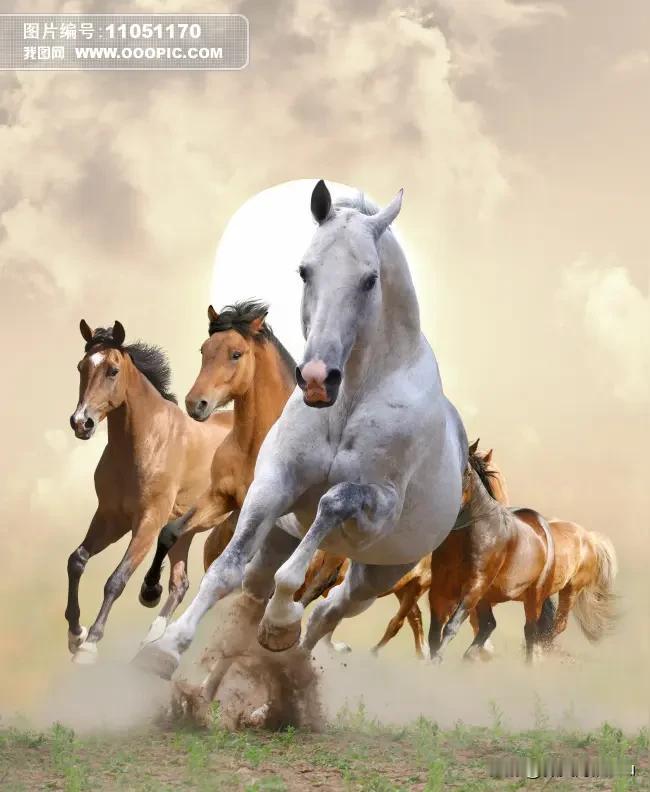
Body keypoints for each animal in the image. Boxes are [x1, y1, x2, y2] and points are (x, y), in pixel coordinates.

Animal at [66, 321, 231, 664]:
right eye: (81, 367)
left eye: (113, 370)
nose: (81, 423)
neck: (147, 441)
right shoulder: (111, 518)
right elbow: (77, 560)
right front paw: (76, 634)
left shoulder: (148, 522)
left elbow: (116, 579)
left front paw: (90, 643)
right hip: (187, 530)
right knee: (180, 583)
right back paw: (153, 640)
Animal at [139, 300, 297, 644]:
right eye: (204, 350)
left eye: (236, 354)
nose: (195, 404)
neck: (255, 445)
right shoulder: (220, 497)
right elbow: (171, 532)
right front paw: (149, 591)